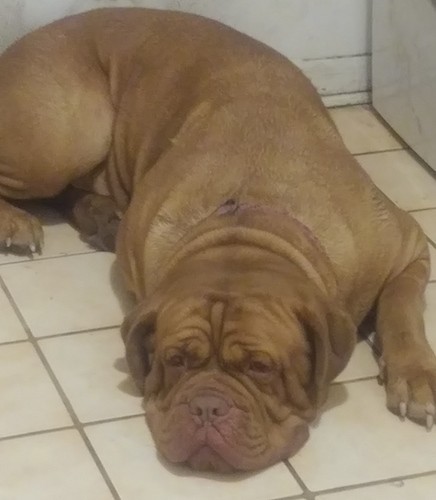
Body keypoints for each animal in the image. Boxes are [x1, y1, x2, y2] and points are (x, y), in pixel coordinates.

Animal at [0, 7, 436, 472]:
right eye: (175, 361)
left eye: (262, 367)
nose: (207, 406)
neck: (249, 223)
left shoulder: (407, 245)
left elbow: (402, 307)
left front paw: (414, 375)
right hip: (64, 136)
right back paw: (18, 223)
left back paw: (99, 216)